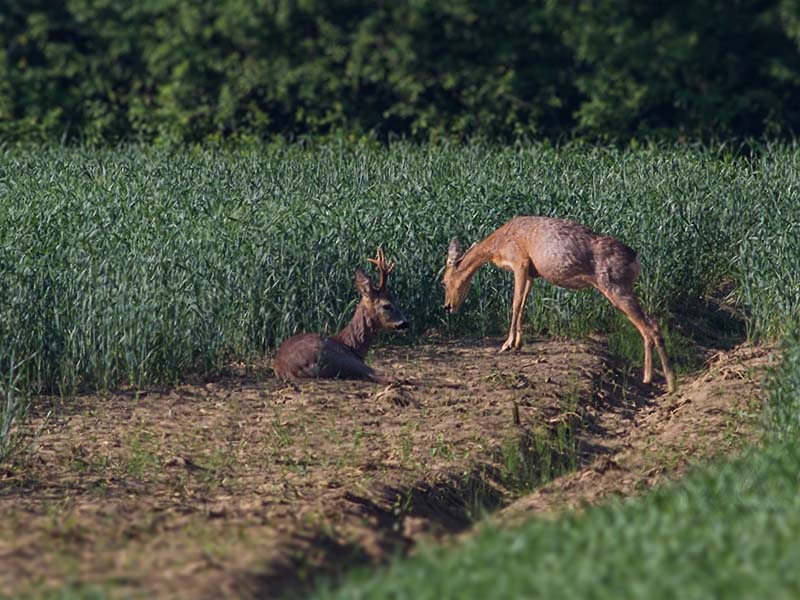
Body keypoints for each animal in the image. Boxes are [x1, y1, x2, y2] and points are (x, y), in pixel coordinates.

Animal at [444, 217, 676, 394]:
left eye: (443, 281)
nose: (447, 306)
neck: (497, 247)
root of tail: (636, 259)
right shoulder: (531, 273)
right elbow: (523, 304)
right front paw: (518, 343)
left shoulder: (520, 261)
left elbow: (515, 303)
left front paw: (507, 344)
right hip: (624, 288)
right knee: (652, 322)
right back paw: (657, 380)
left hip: (615, 286)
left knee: (648, 326)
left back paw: (662, 381)